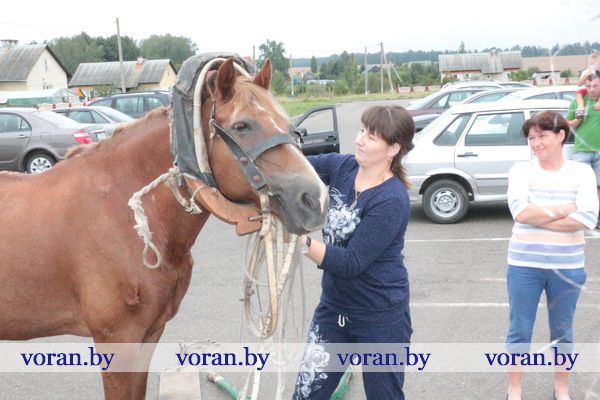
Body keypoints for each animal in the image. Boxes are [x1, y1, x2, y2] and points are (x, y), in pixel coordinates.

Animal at [0, 57, 328, 399]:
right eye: (242, 126)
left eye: (287, 124)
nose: (316, 199)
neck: (123, 214)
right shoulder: (117, 341)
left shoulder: (150, 333)